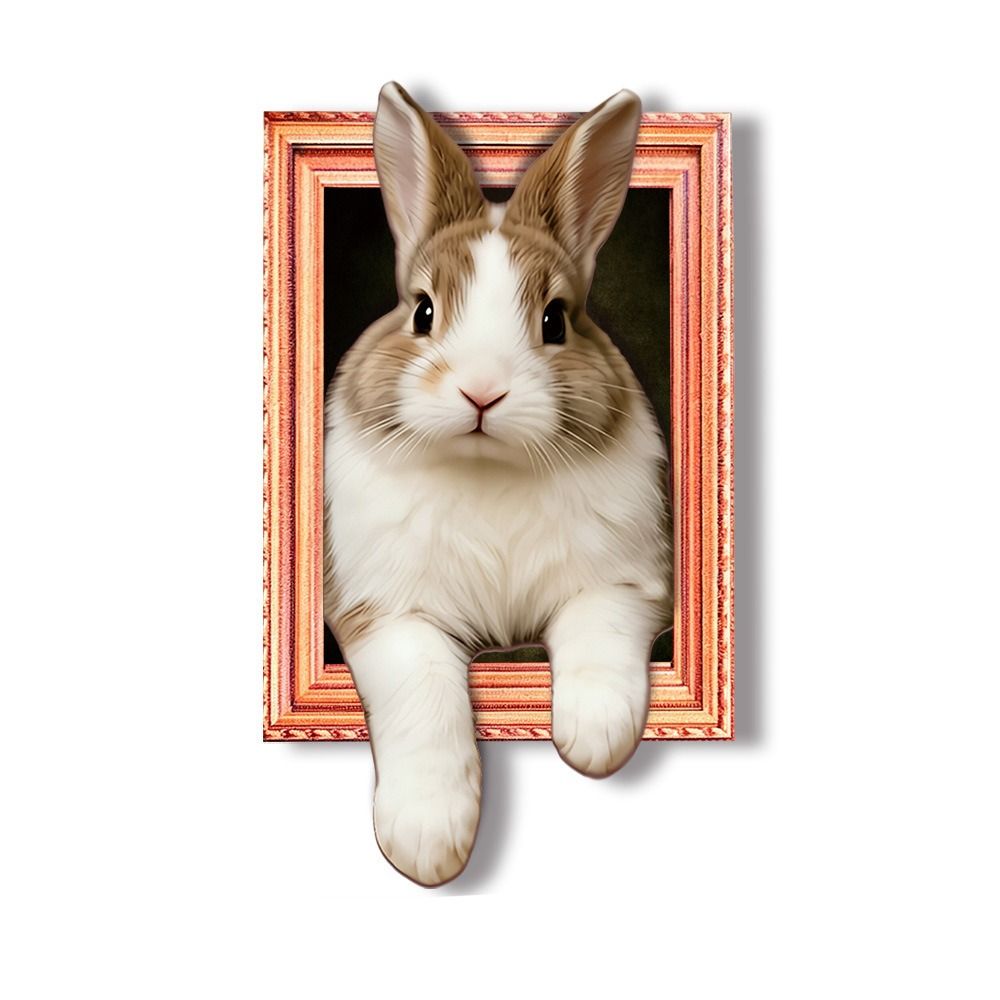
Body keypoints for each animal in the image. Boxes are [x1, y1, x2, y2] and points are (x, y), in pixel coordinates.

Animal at [323, 82, 672, 886]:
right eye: (422, 311)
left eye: (556, 320)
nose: (482, 392)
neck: (489, 469)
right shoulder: (385, 614)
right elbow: (423, 694)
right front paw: (426, 840)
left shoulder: (624, 583)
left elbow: (598, 639)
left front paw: (594, 735)